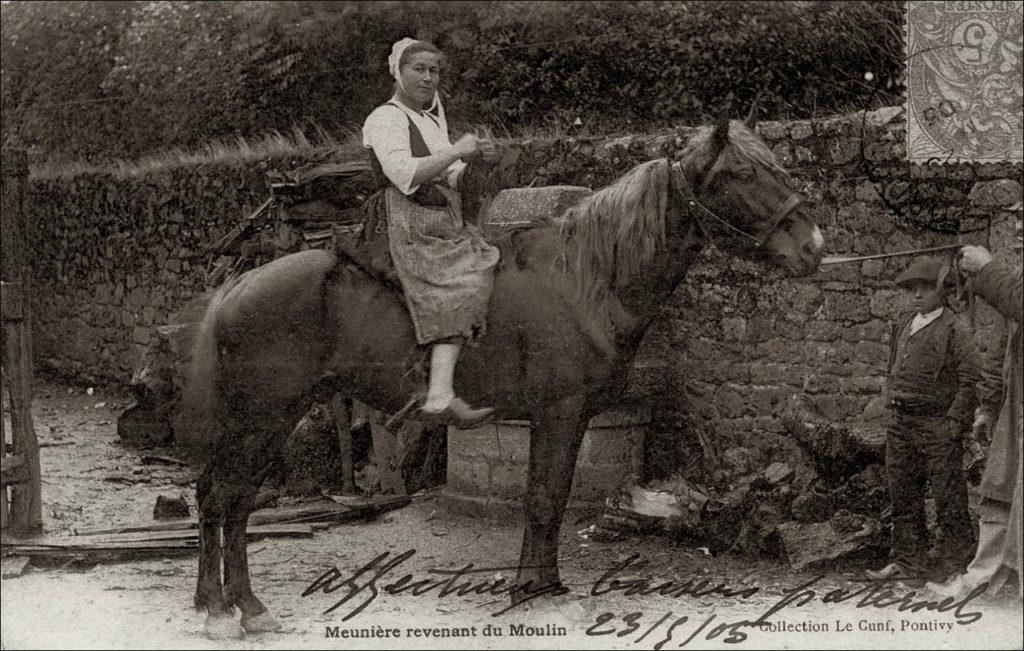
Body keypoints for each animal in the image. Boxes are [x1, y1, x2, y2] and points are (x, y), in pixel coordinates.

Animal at [182, 114, 823, 638]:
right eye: (741, 172)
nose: (814, 246)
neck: (583, 279)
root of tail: (238, 286)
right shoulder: (559, 413)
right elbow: (544, 500)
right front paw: (534, 591)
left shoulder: (568, 417)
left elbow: (549, 500)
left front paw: (541, 583)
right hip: (262, 416)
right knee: (223, 496)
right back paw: (226, 609)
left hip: (271, 419)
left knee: (229, 498)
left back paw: (237, 607)